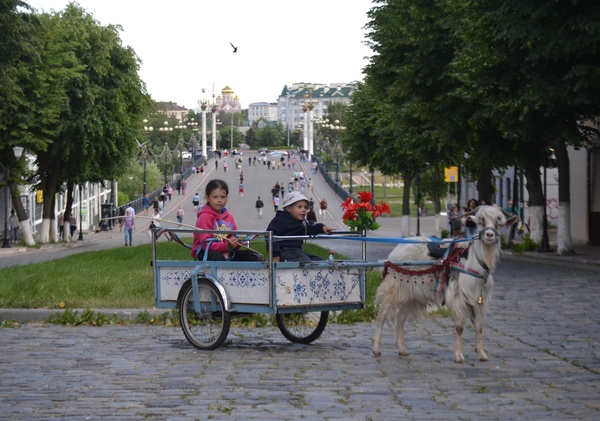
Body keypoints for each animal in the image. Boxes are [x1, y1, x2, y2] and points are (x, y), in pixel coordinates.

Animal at [370, 205, 516, 362]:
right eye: (480, 221)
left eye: (499, 221)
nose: (489, 235)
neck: (475, 260)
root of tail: (395, 252)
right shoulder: (458, 297)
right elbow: (459, 327)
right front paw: (458, 356)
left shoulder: (478, 300)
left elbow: (479, 327)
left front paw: (482, 354)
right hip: (393, 290)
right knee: (381, 317)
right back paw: (376, 349)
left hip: (411, 296)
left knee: (400, 319)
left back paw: (402, 349)